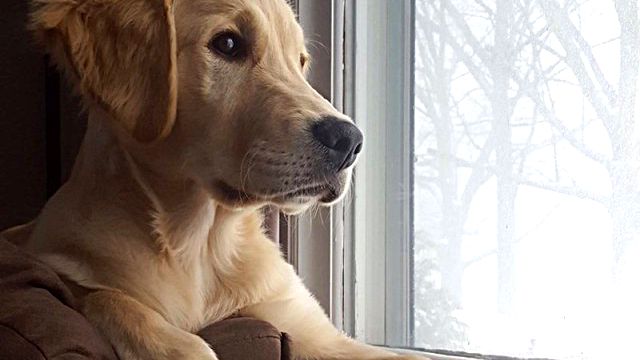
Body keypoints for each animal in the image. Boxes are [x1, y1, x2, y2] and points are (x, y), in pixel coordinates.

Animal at [3, 0, 430, 360]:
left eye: (300, 61)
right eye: (227, 44)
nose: (350, 141)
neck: (199, 245)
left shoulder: (305, 325)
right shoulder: (57, 263)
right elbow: (103, 296)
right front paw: (175, 347)